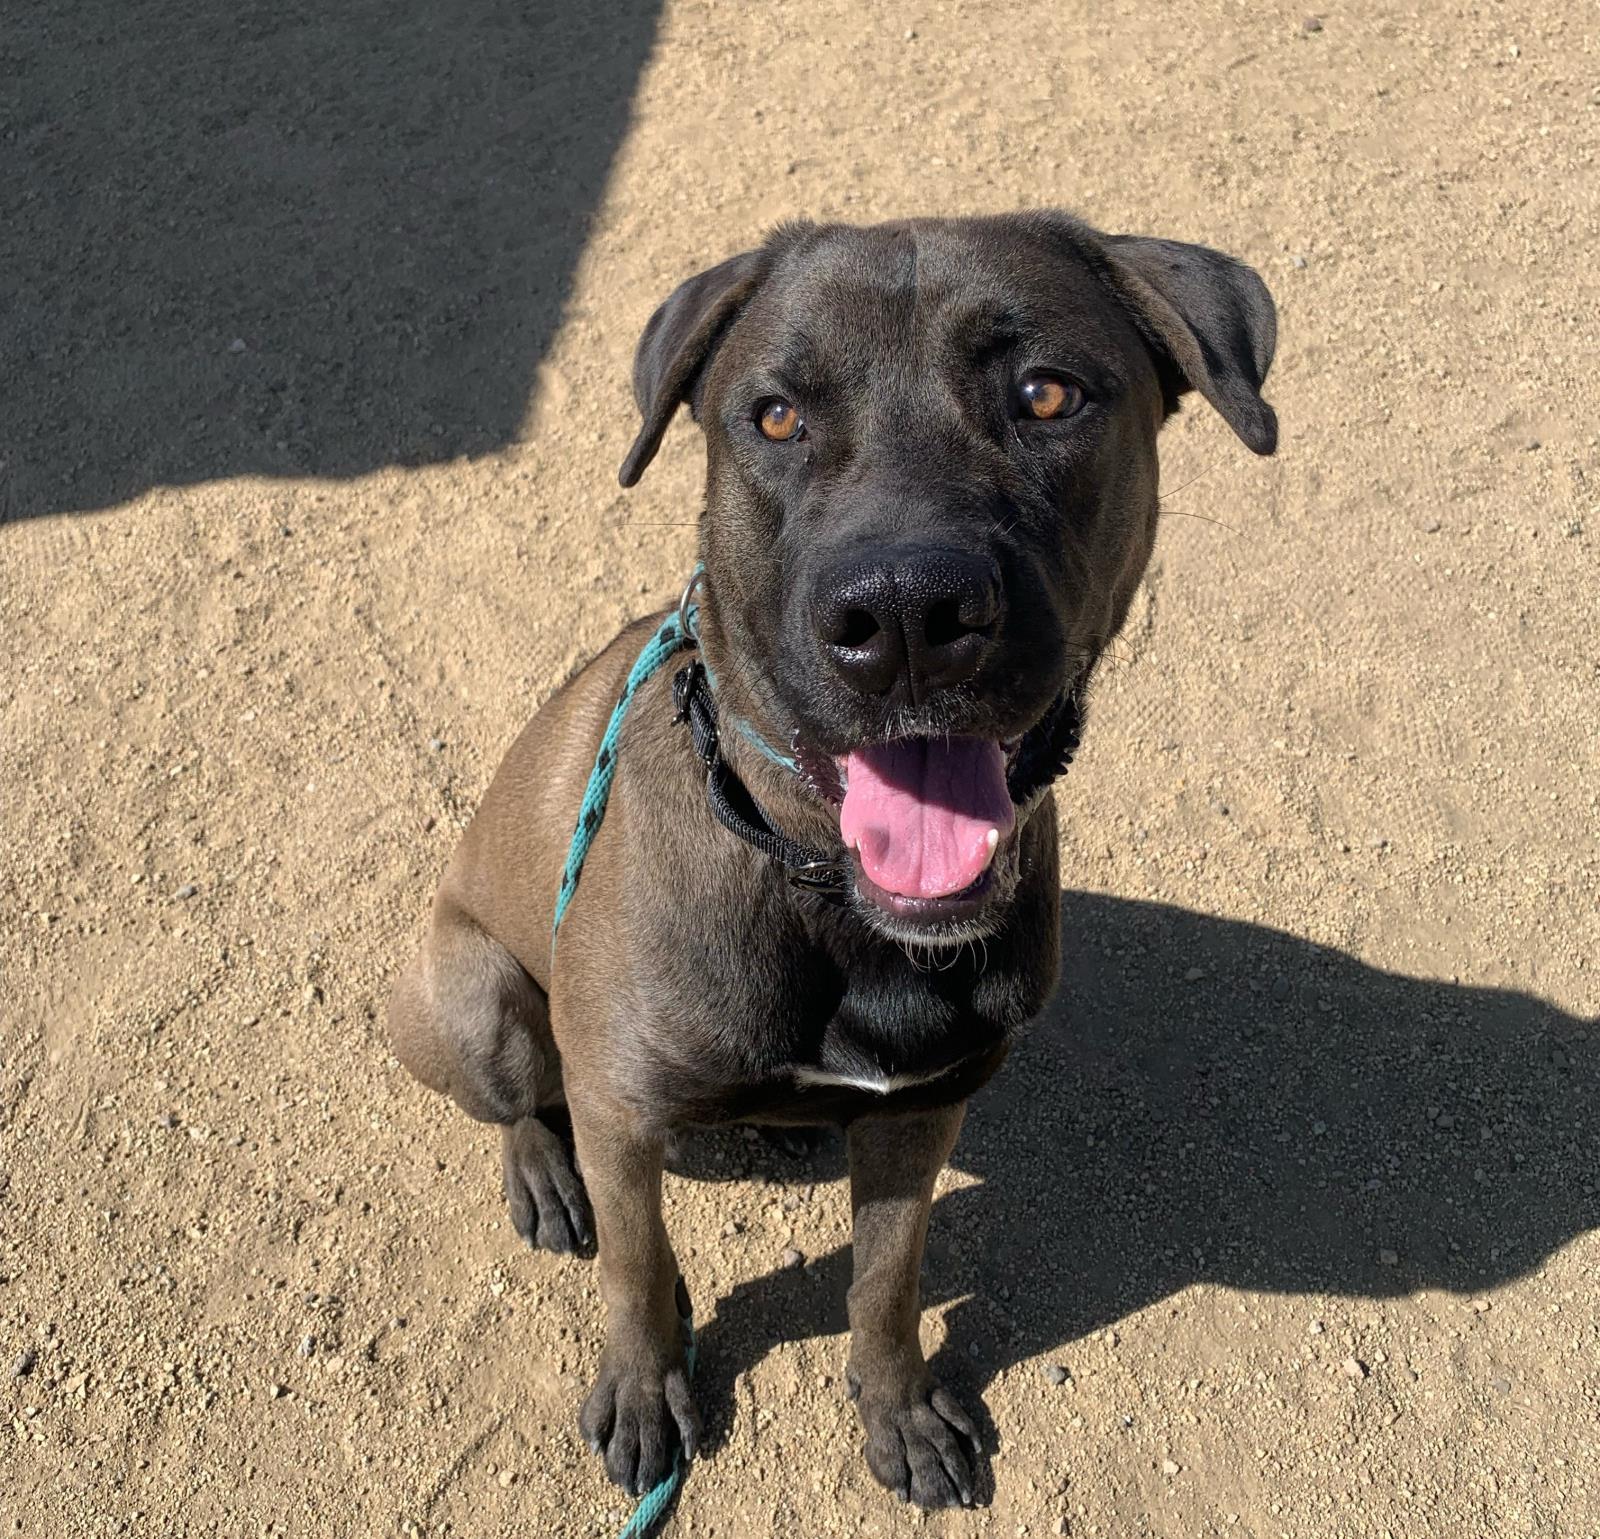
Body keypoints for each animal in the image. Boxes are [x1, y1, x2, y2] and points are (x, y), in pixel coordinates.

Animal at [393, 209, 1280, 1503]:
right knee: (519, 1102)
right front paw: (645, 1389)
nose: (907, 614)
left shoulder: (921, 1114)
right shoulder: (618, 1113)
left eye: (1047, 392)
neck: (819, 889)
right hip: (477, 1000)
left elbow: (884, 1284)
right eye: (774, 416)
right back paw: (545, 1176)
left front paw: (898, 1409)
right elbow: (635, 1273)